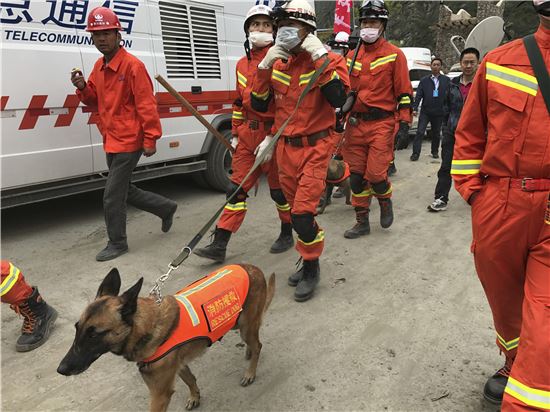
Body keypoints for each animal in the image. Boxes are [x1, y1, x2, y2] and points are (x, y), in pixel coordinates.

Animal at [56, 264, 276, 412]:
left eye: (94, 334)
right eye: (77, 328)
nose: (61, 369)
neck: (146, 327)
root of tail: (253, 268)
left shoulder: (159, 395)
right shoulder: (178, 365)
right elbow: (190, 379)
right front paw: (195, 396)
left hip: (245, 326)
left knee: (258, 344)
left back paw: (250, 371)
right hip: (237, 323)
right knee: (254, 340)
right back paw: (248, 352)